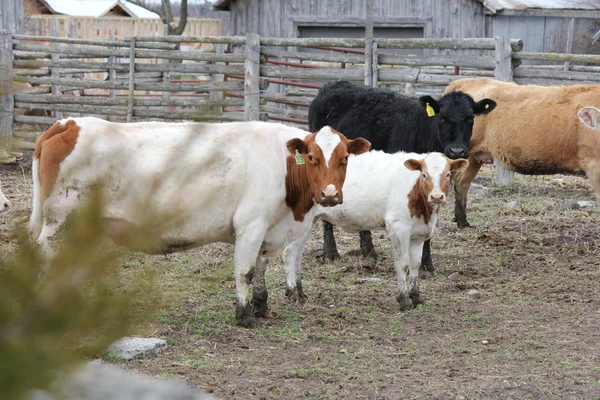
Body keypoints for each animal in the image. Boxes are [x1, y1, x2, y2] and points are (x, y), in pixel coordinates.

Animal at [31, 117, 376, 326]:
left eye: (345, 158)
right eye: (314, 158)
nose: (329, 194)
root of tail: (69, 123)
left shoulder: (266, 229)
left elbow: (261, 269)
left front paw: (262, 308)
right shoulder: (250, 225)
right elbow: (245, 271)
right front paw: (244, 316)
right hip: (60, 220)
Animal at [282, 152, 468, 310]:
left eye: (448, 174)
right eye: (423, 175)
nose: (436, 196)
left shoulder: (419, 234)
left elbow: (415, 263)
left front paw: (416, 297)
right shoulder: (398, 228)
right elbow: (403, 264)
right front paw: (404, 300)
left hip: (309, 222)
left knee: (297, 254)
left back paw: (300, 292)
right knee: (290, 252)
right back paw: (293, 293)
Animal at [310, 80, 496, 276]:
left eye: (470, 118)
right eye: (443, 118)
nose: (457, 151)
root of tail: (333, 85)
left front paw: (426, 265)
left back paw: (368, 252)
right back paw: (330, 252)